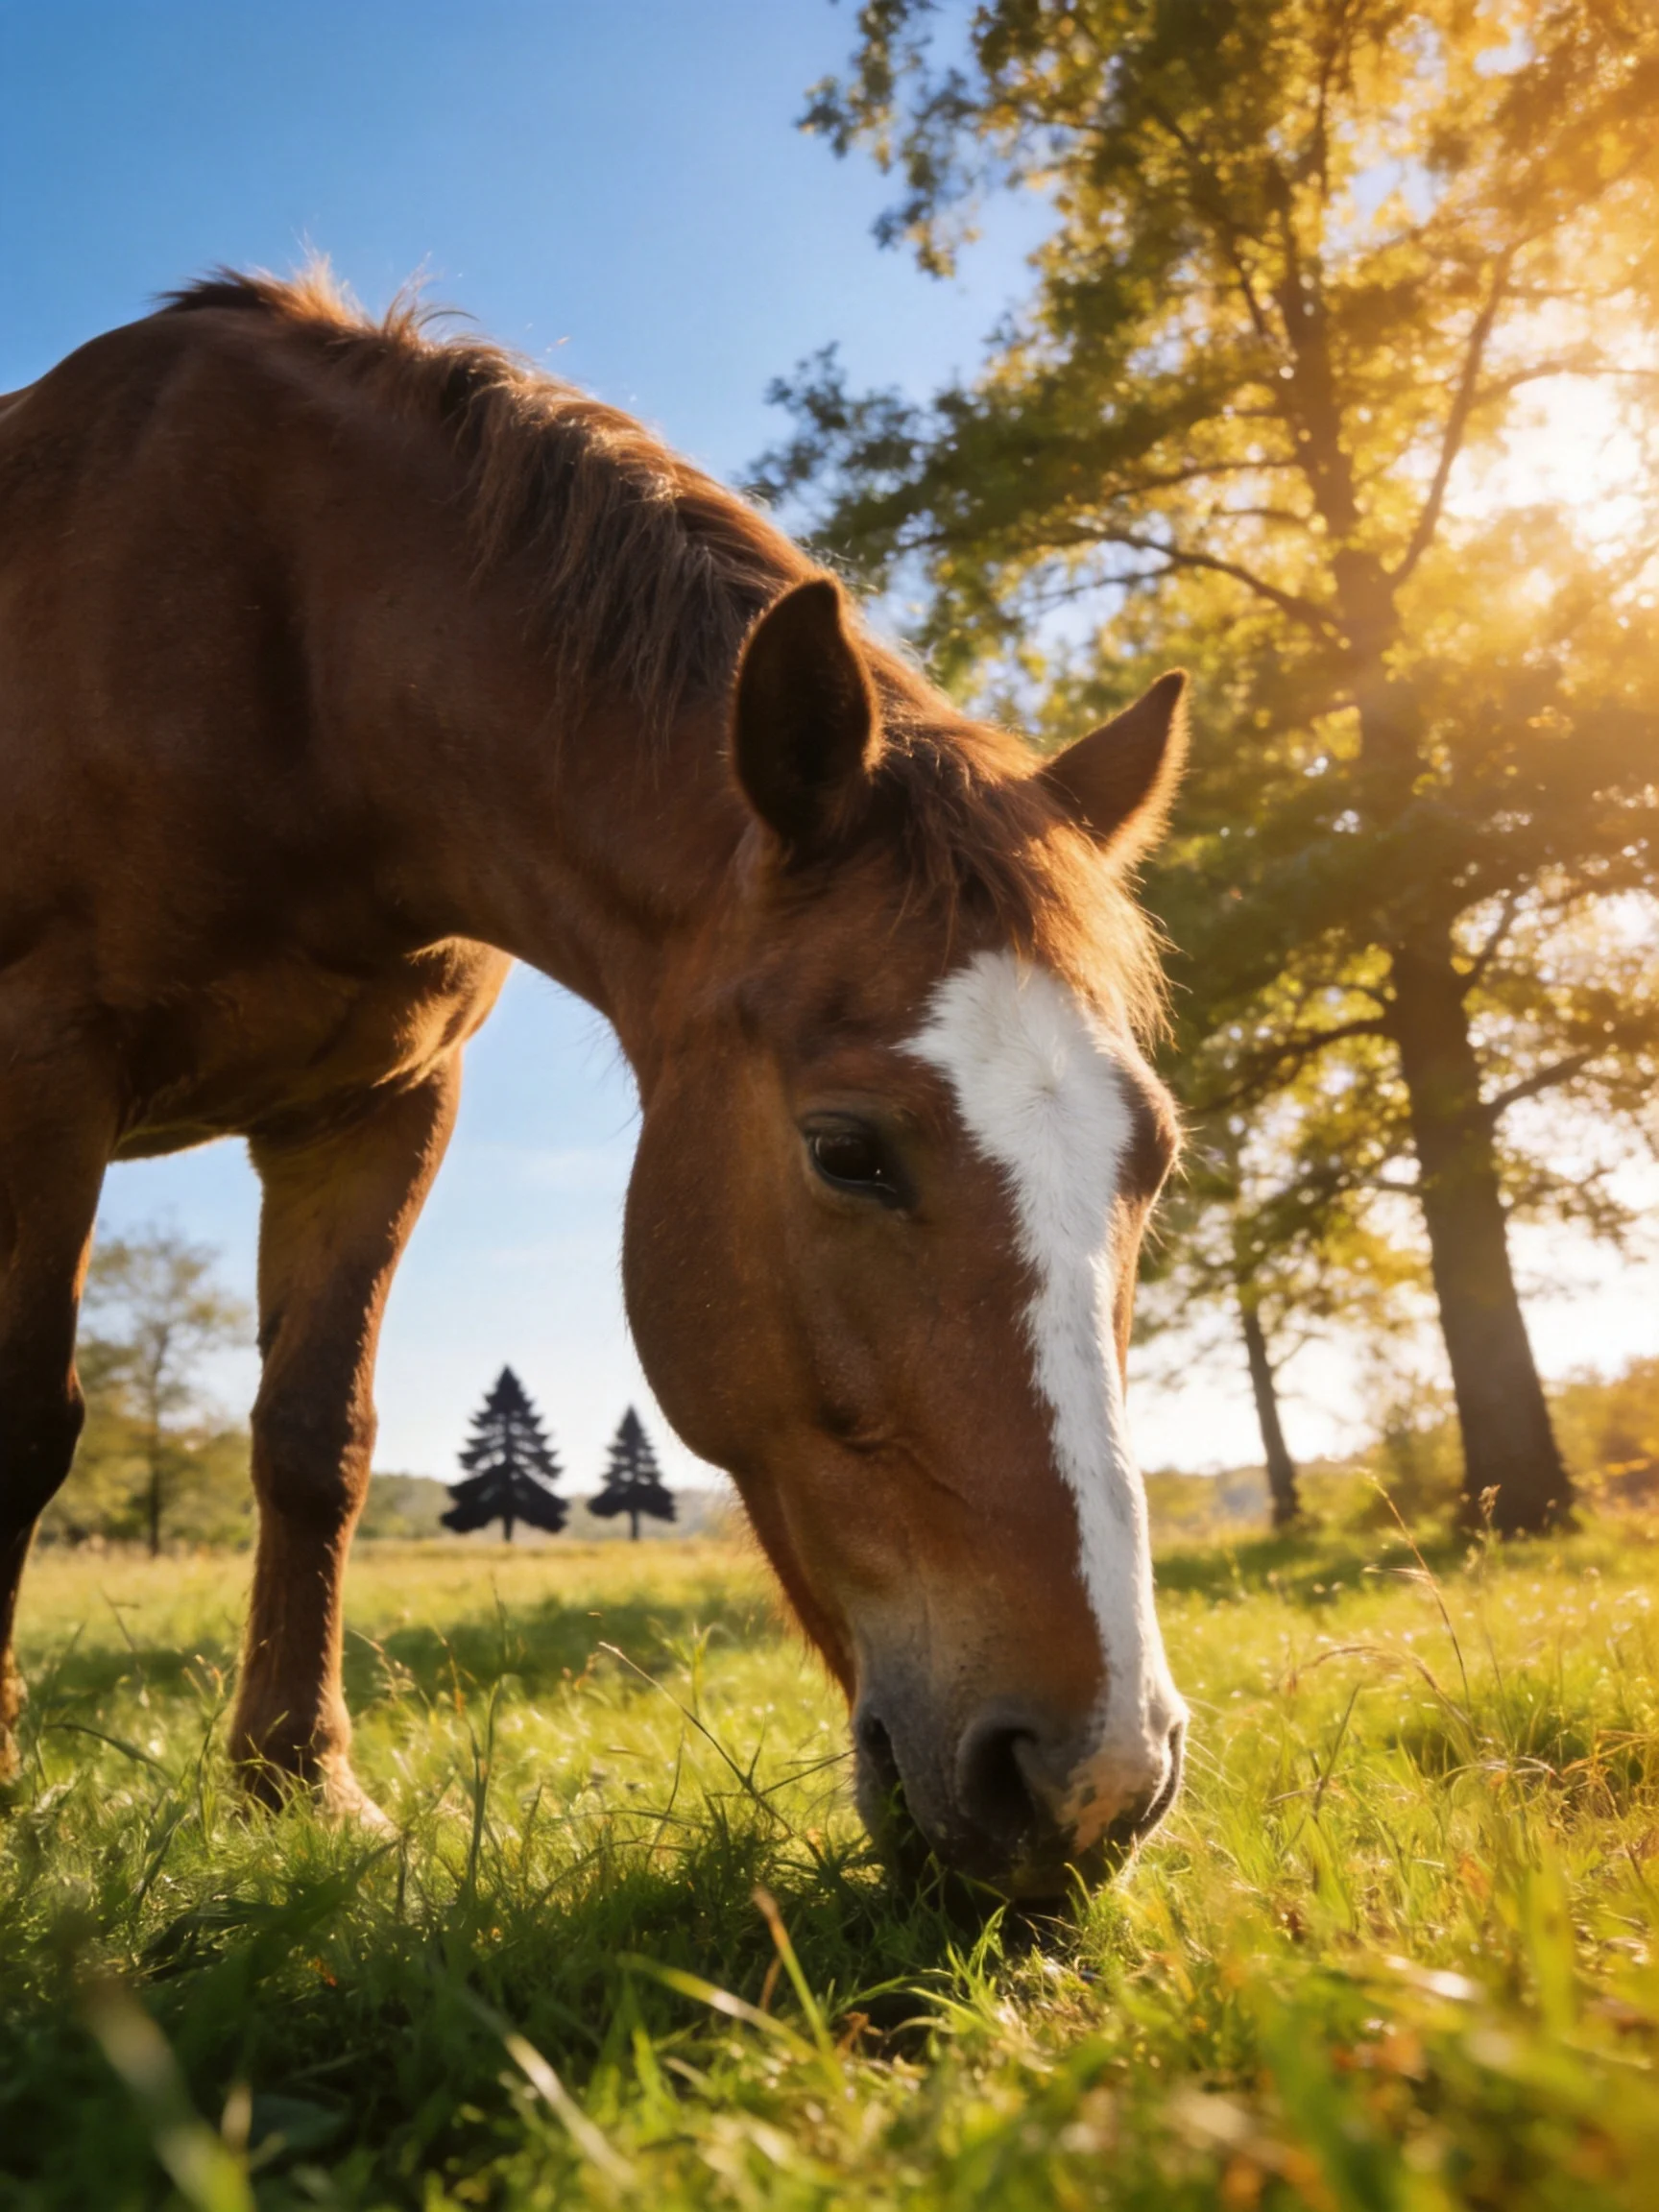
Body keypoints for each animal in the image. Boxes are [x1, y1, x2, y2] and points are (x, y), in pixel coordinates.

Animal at [0, 268, 1190, 1901]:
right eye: (847, 1150)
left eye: (1154, 1161)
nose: (1098, 1783)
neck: (282, 646)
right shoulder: (43, 1059)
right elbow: (18, 1422)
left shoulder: (378, 1111)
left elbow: (317, 1440)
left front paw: (301, 1788)